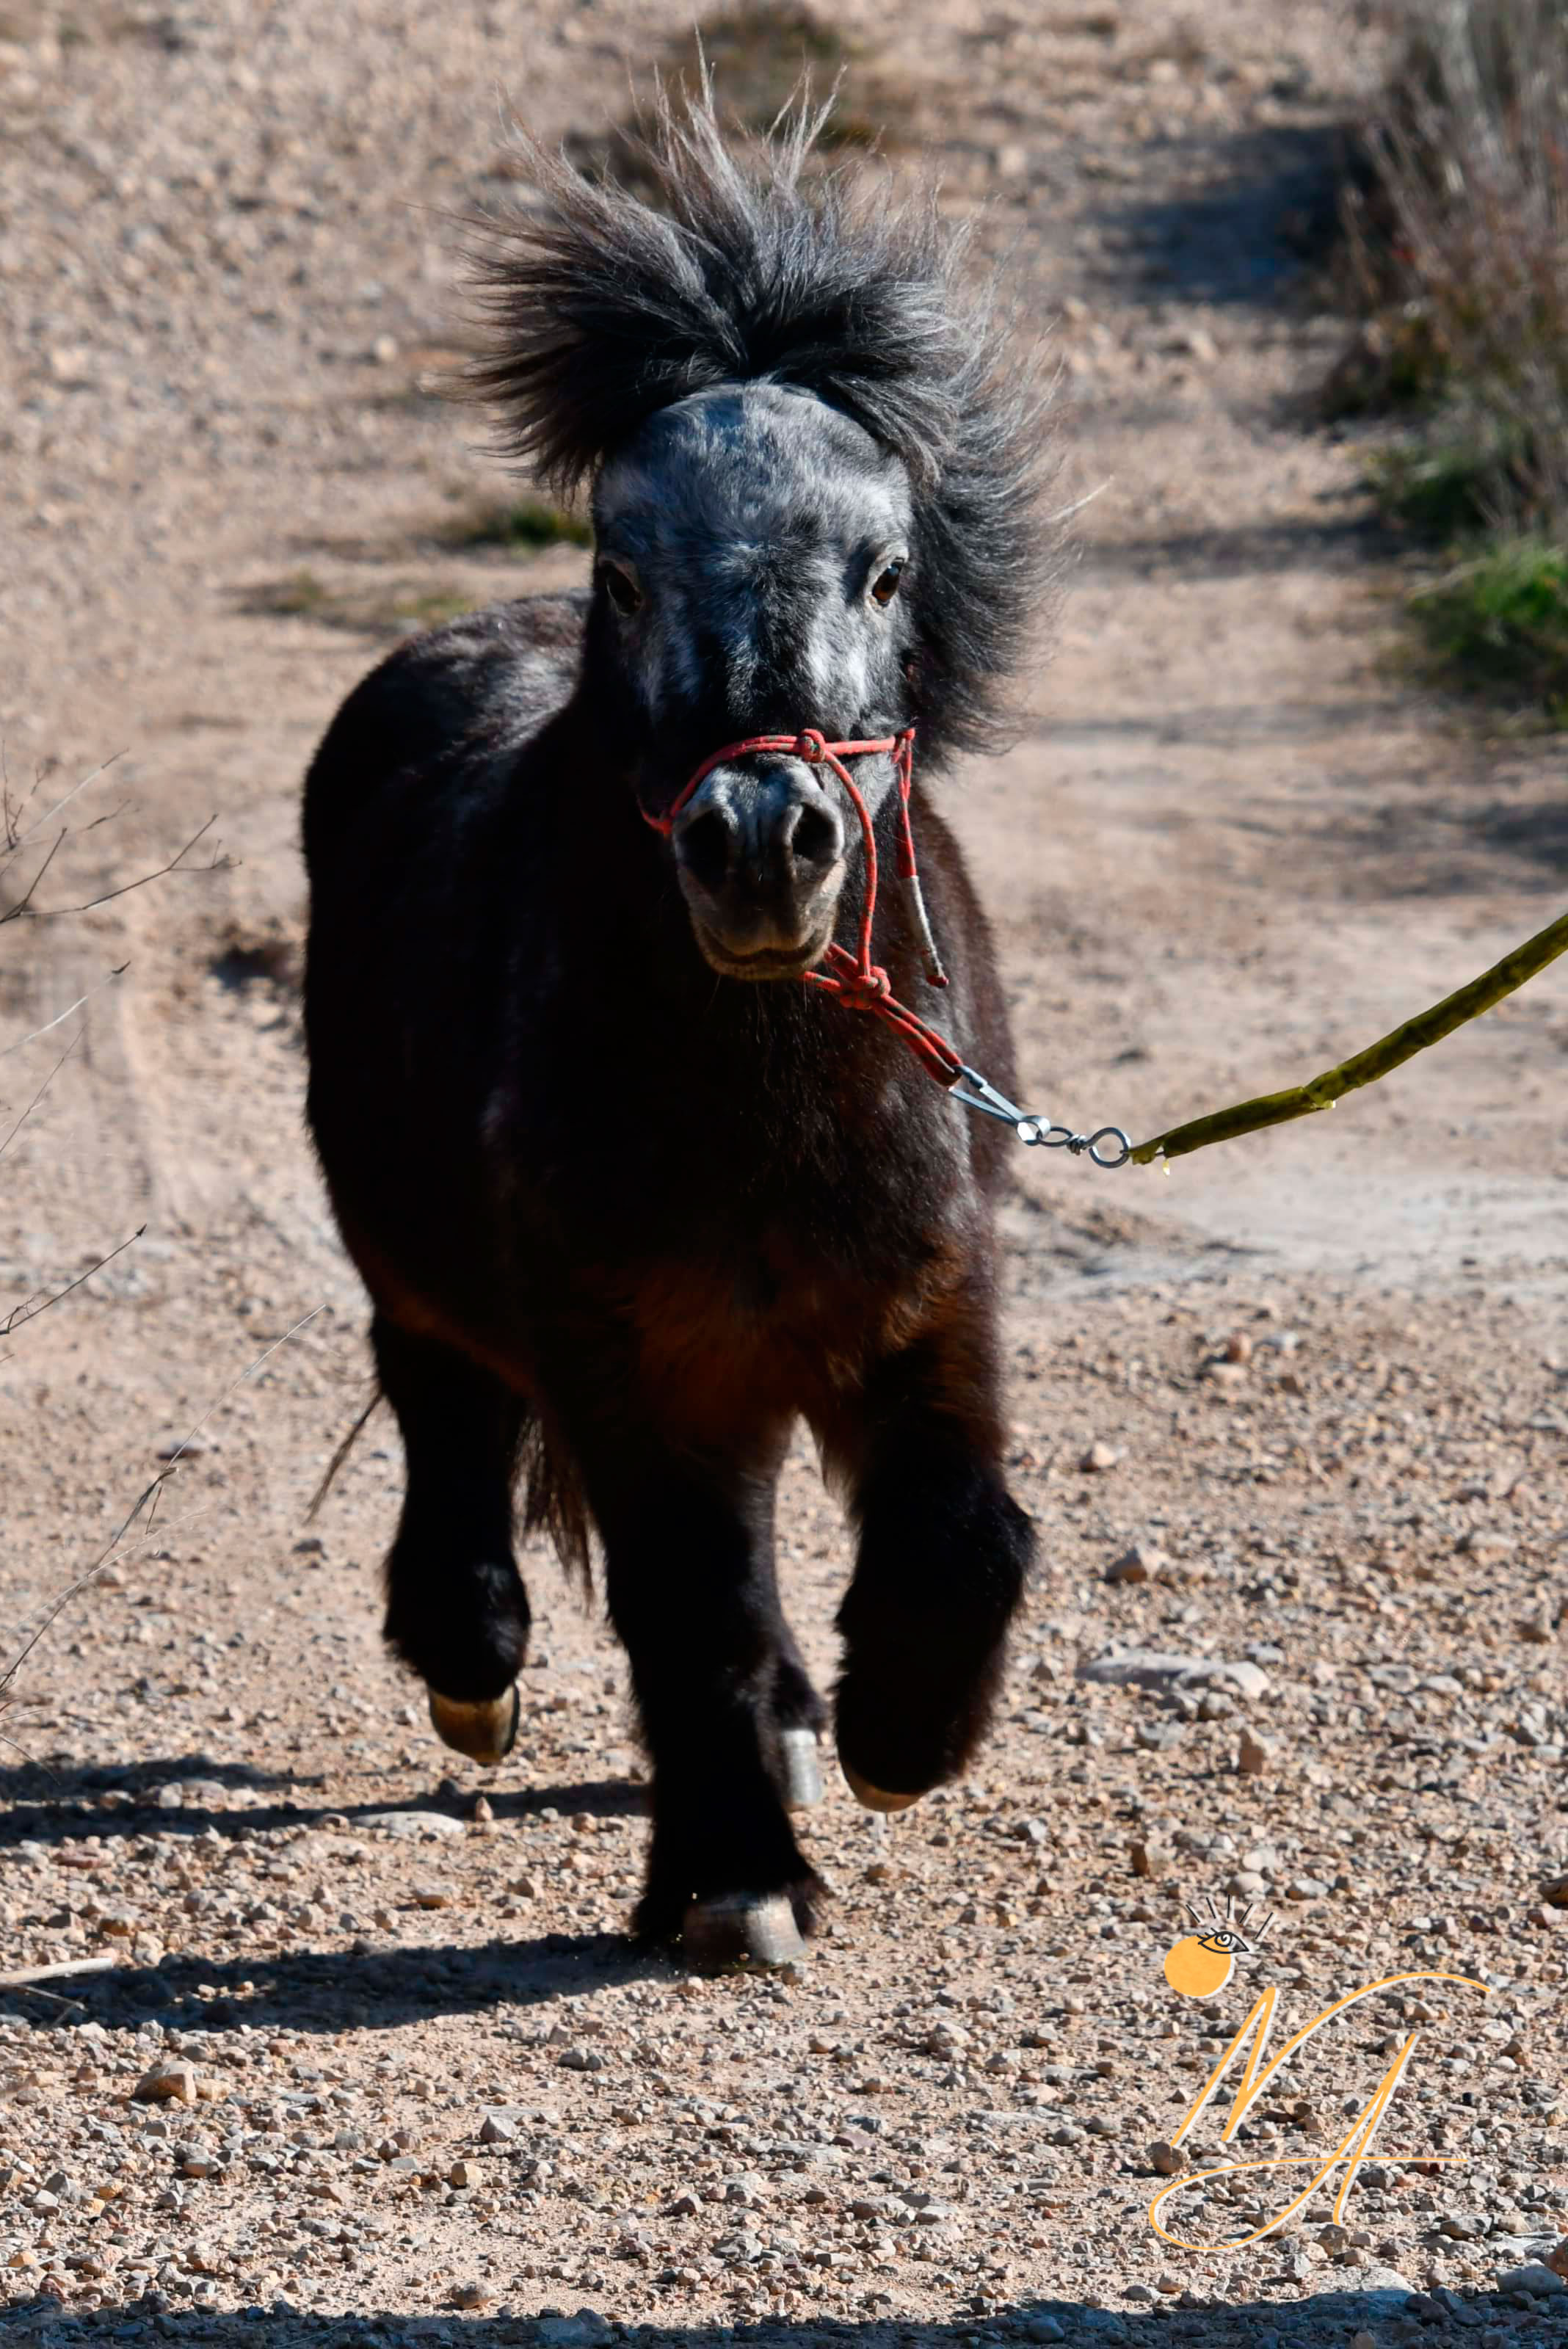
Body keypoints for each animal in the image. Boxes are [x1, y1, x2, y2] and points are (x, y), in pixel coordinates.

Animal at [300, 91, 1061, 1964]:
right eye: (624, 570)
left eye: (885, 572)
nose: (760, 841)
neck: (770, 1095)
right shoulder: (625, 1356)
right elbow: (684, 1601)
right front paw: (732, 1882)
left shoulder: (925, 1304)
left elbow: (961, 1534)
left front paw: (894, 1740)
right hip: (427, 1275)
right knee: (445, 1414)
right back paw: (474, 1673)